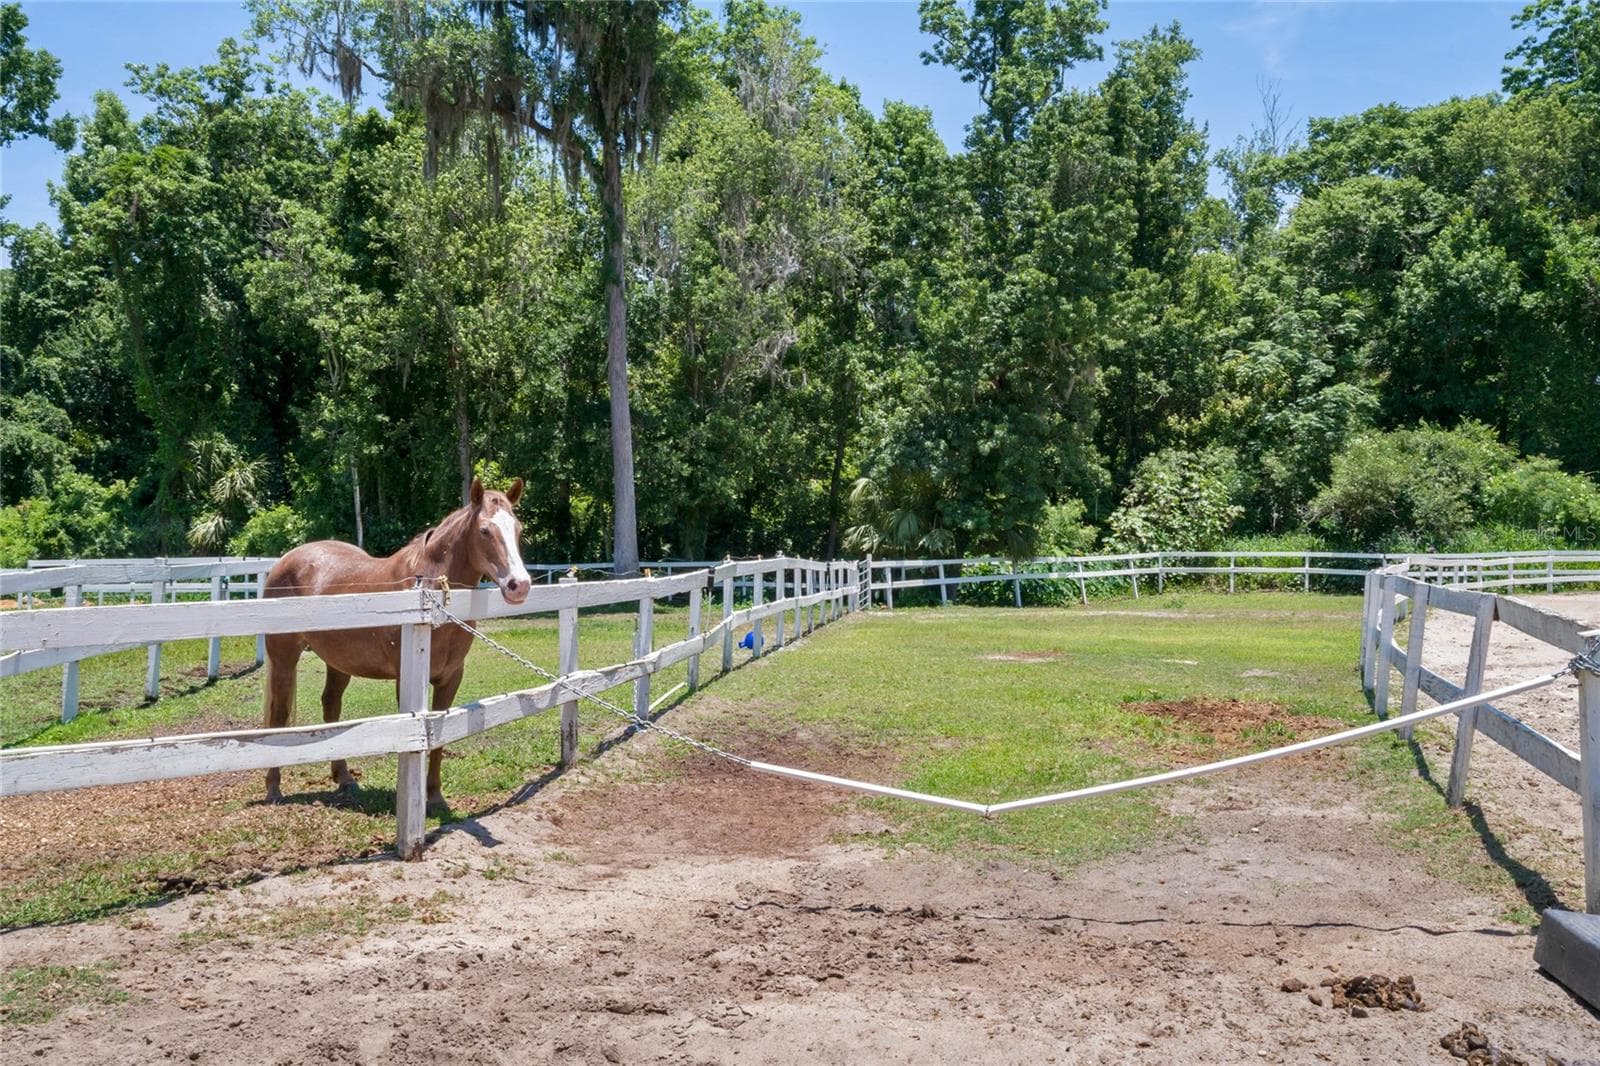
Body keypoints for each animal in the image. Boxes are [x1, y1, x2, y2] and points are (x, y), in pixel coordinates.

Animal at [261, 476, 531, 809]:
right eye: (484, 531)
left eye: (517, 529)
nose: (520, 585)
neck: (431, 593)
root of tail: (284, 561)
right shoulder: (407, 680)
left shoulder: (451, 678)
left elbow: (440, 737)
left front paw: (435, 797)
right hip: (284, 659)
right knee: (279, 716)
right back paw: (274, 788)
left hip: (338, 663)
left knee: (330, 706)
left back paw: (344, 778)